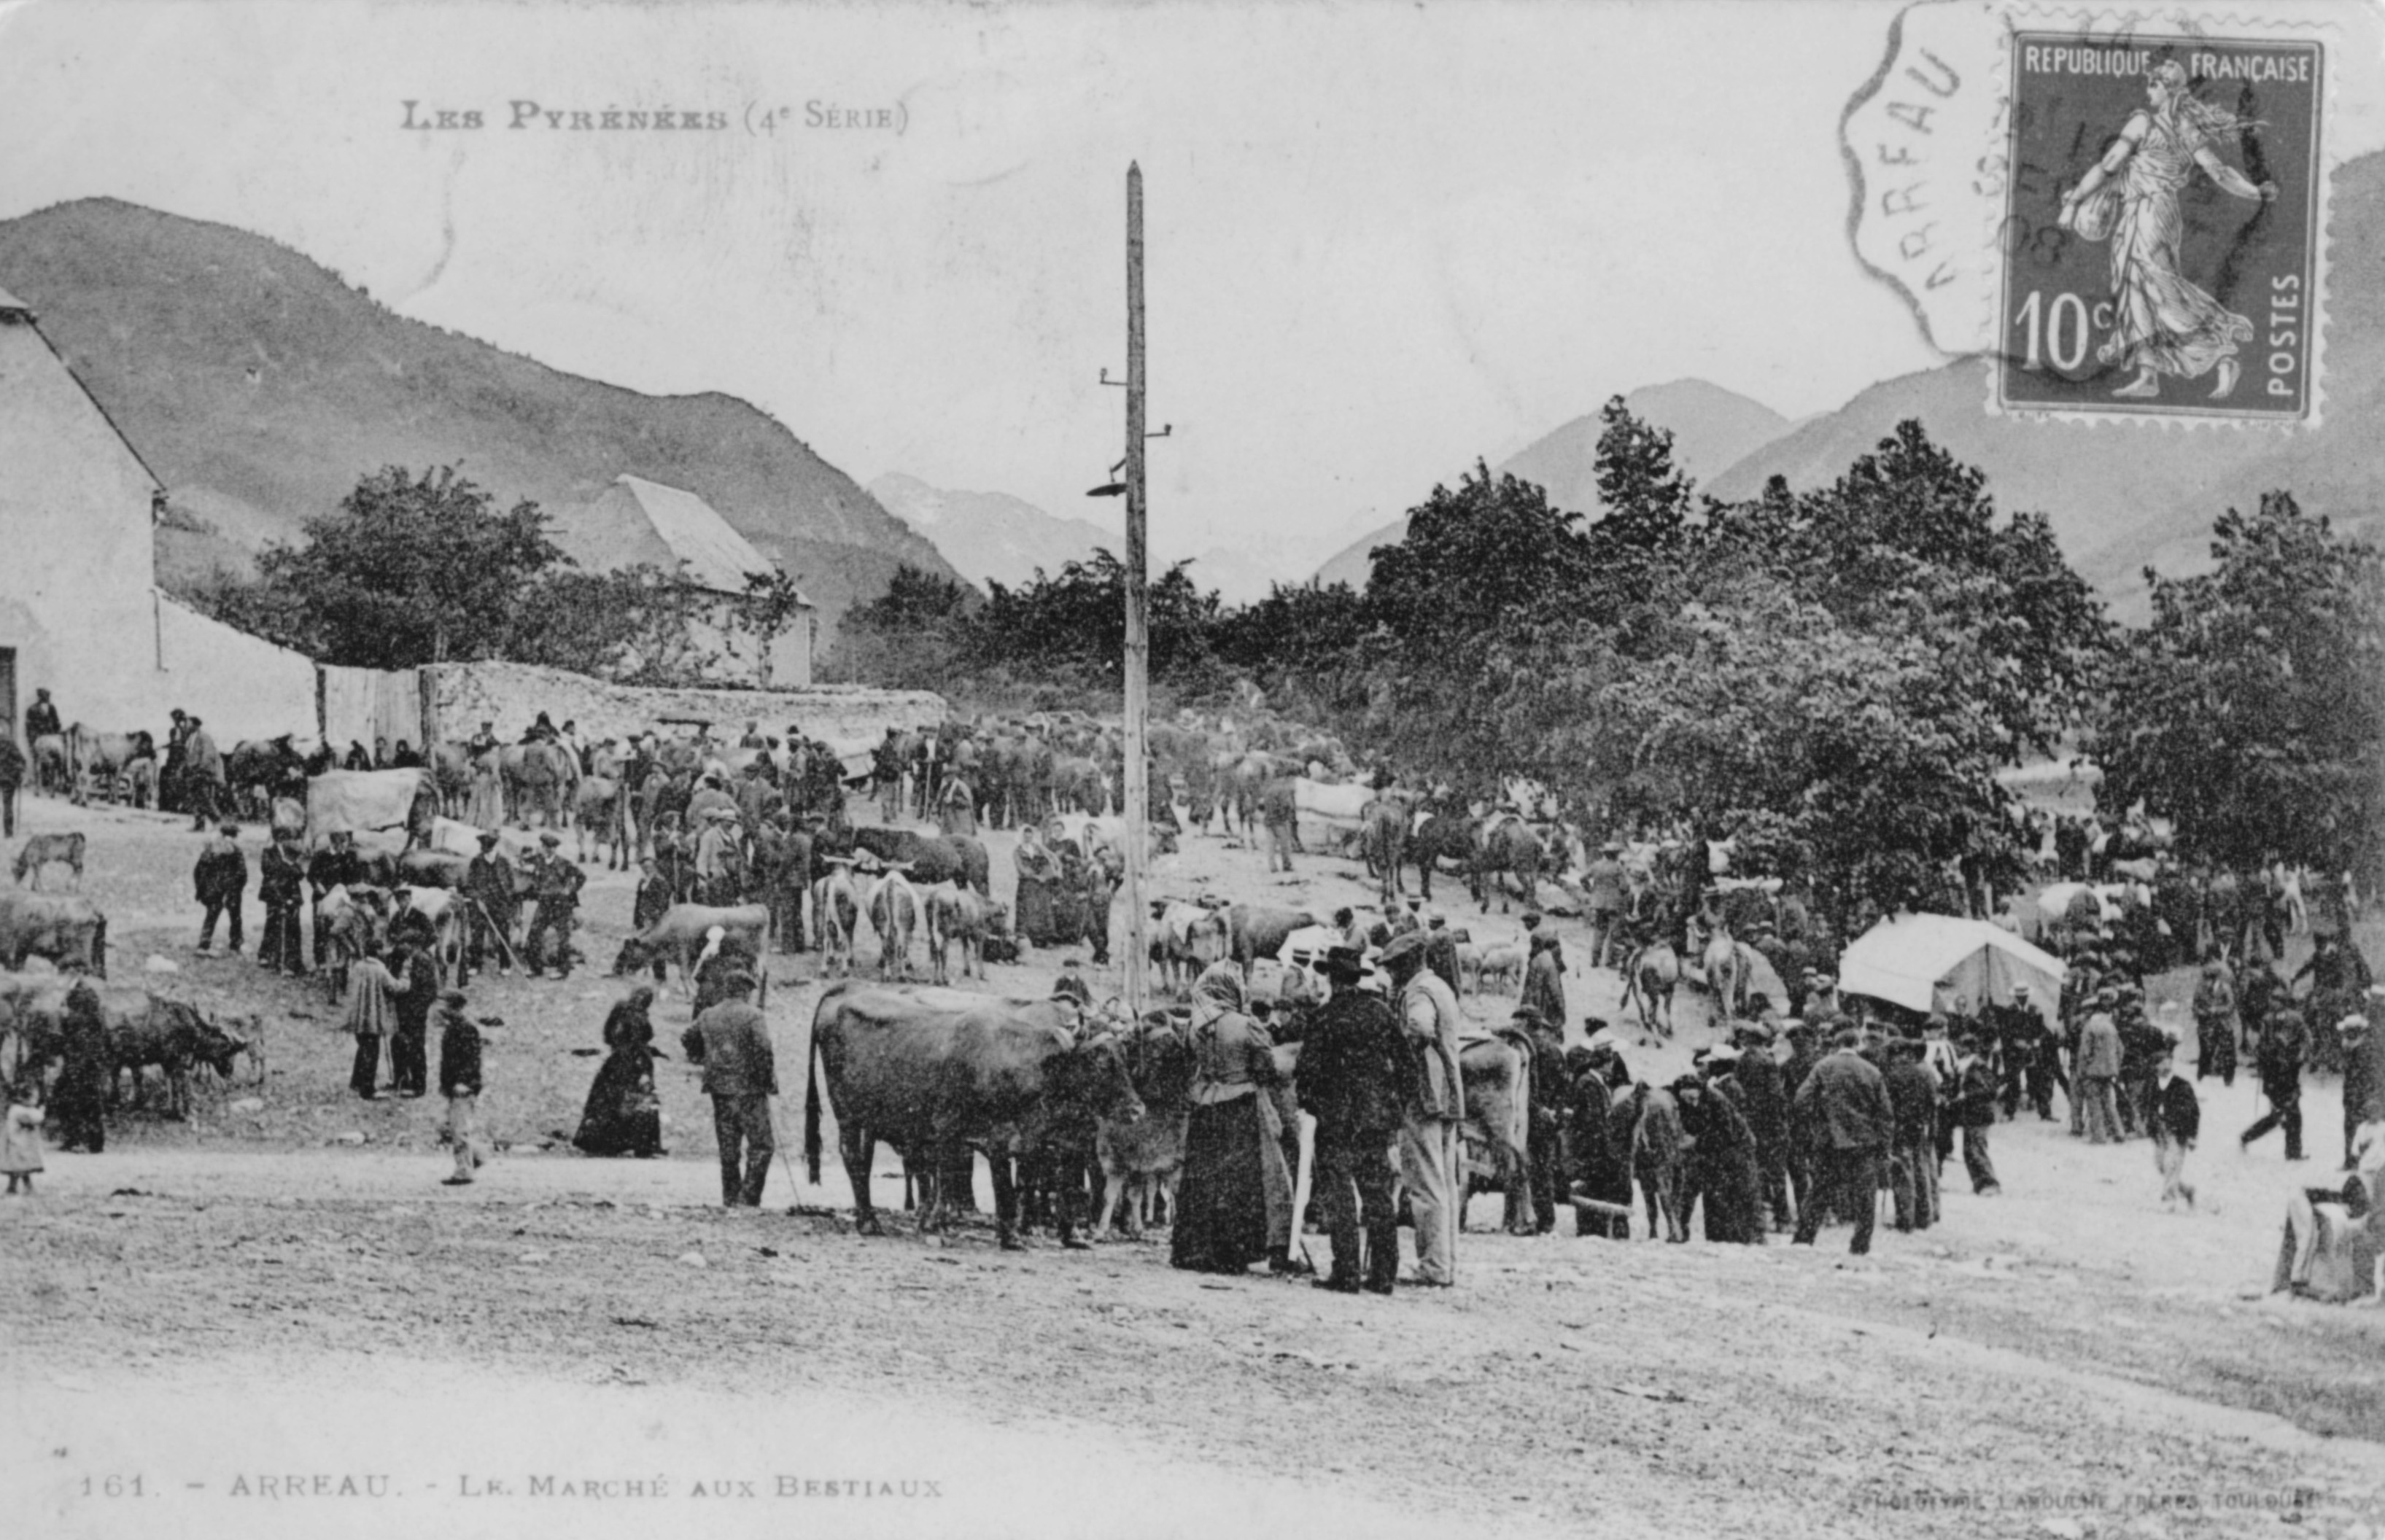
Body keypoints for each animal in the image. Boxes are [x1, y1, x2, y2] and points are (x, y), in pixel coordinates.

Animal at [107, 1001, 254, 1120]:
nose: (229, 1071)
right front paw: (184, 1113)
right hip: (116, 1059)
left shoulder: (168, 1063)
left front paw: (171, 1110)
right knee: (114, 1078)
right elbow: (180, 1087)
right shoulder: (178, 1061)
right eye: (228, 1050)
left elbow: (170, 1086)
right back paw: (116, 1104)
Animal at [620, 906, 767, 1001]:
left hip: (756, 955)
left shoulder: (683, 952)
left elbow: (684, 975)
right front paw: (690, 993)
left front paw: (691, 994)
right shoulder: (693, 957)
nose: (619, 968)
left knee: (759, 977)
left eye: (628, 950)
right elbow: (689, 974)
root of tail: (758, 907)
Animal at [801, 992, 1144, 1259]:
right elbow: (1002, 1185)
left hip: (869, 1121)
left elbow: (1040, 1184)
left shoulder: (1034, 1140)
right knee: (853, 1159)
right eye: (1100, 1059)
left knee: (864, 1161)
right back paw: (868, 1221)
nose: (1137, 1109)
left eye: (1125, 1053)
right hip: (847, 1114)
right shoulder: (986, 1135)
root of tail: (843, 994)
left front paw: (1052, 1234)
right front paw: (1009, 1235)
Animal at [1450, 1039, 1545, 1240]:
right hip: (1514, 1128)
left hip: (1500, 1129)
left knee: (1516, 1164)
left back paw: (1522, 1224)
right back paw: (1519, 1224)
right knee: (1518, 1164)